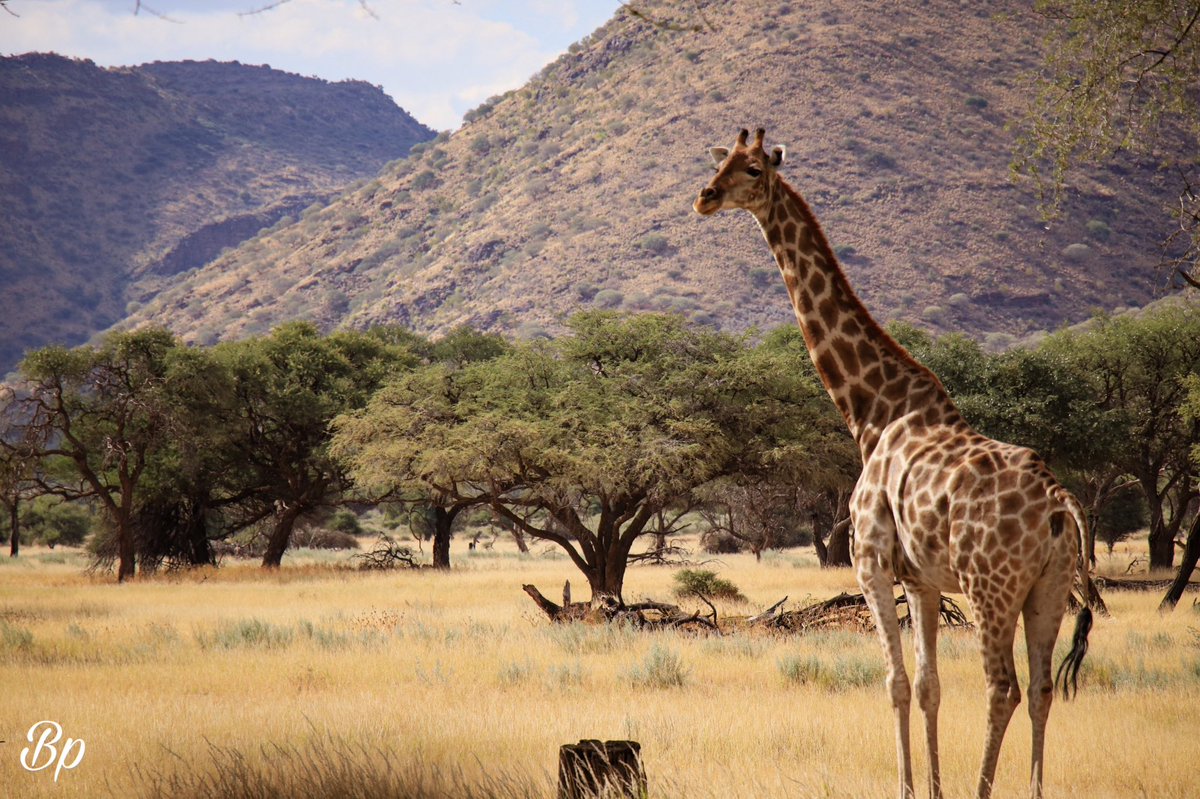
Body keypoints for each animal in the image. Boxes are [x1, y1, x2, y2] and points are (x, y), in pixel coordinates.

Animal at [693, 128, 1094, 799]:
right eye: (718, 161)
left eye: (750, 170)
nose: (704, 197)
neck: (872, 412)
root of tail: (1060, 503)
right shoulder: (923, 580)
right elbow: (930, 687)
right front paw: (931, 787)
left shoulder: (871, 564)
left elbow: (897, 684)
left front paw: (909, 787)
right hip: (1049, 589)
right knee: (1041, 690)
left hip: (990, 586)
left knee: (1003, 688)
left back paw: (984, 788)